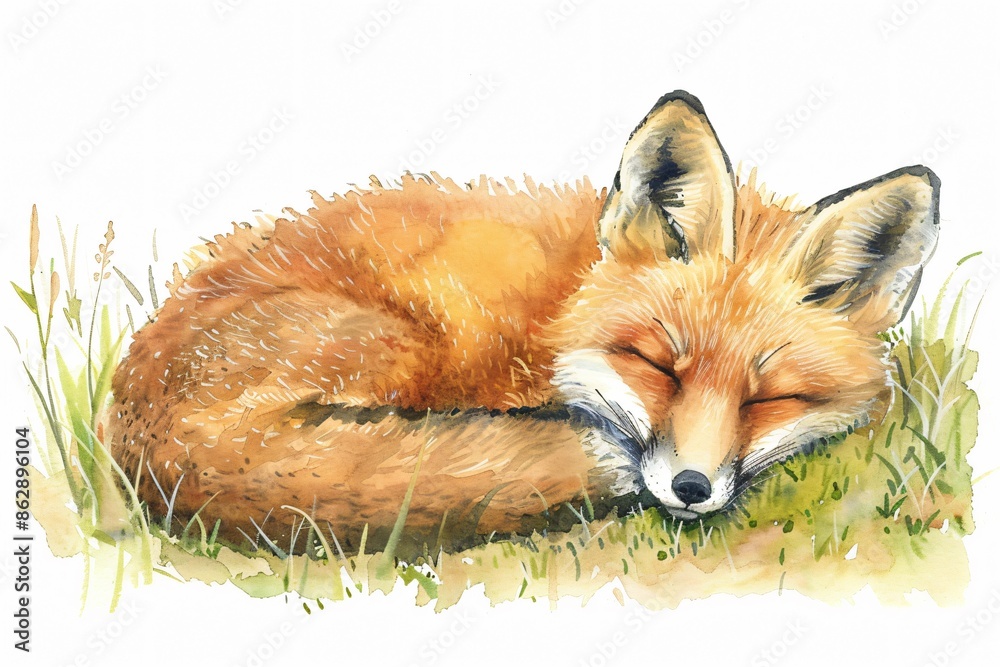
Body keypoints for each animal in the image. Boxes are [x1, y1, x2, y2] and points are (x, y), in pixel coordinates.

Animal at [105, 91, 939, 553]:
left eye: (770, 398)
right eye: (656, 365)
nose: (692, 487)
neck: (557, 303)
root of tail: (140, 432)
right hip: (404, 344)